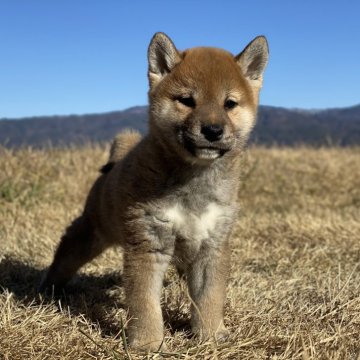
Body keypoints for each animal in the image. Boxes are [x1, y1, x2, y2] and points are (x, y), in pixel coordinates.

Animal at [40, 32, 268, 350]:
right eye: (187, 100)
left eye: (229, 103)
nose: (212, 130)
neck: (192, 183)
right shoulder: (149, 243)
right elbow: (145, 302)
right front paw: (148, 343)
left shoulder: (212, 245)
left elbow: (209, 297)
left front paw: (210, 335)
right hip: (92, 232)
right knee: (66, 255)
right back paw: (48, 289)